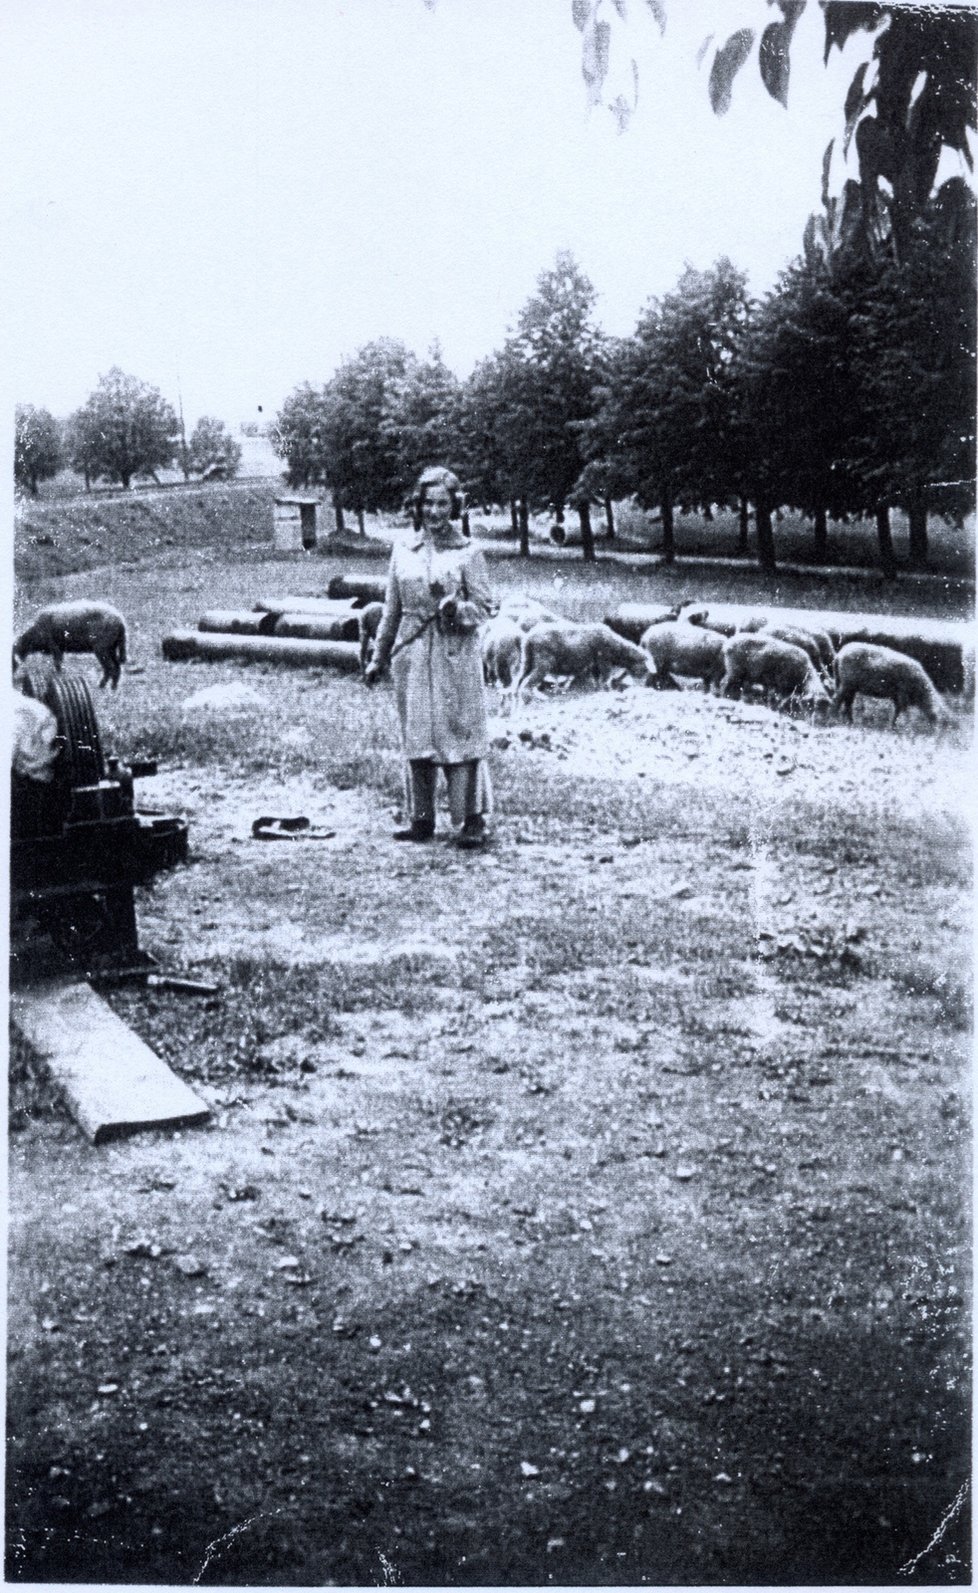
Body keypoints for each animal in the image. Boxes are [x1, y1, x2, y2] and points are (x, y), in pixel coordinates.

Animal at [512, 621, 659, 697]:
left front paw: (598, 692)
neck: (617, 648)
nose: (640, 688)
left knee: (518, 683)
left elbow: (597, 681)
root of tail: (528, 639)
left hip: (527, 660)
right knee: (526, 685)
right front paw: (608, 692)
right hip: (543, 662)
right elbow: (605, 679)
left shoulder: (595, 665)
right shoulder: (603, 660)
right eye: (644, 669)